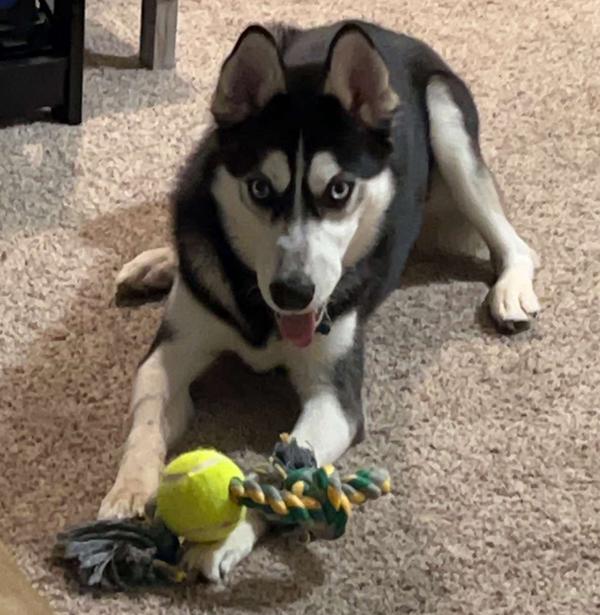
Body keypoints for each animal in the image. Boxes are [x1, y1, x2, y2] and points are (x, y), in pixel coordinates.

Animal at [97, 21, 540, 584]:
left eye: (339, 190)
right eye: (260, 189)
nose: (294, 292)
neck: (263, 312)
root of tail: (385, 31)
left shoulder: (336, 398)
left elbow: (288, 468)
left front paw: (229, 537)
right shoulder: (172, 351)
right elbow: (149, 416)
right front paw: (130, 490)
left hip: (448, 126)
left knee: (516, 242)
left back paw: (512, 289)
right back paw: (159, 262)